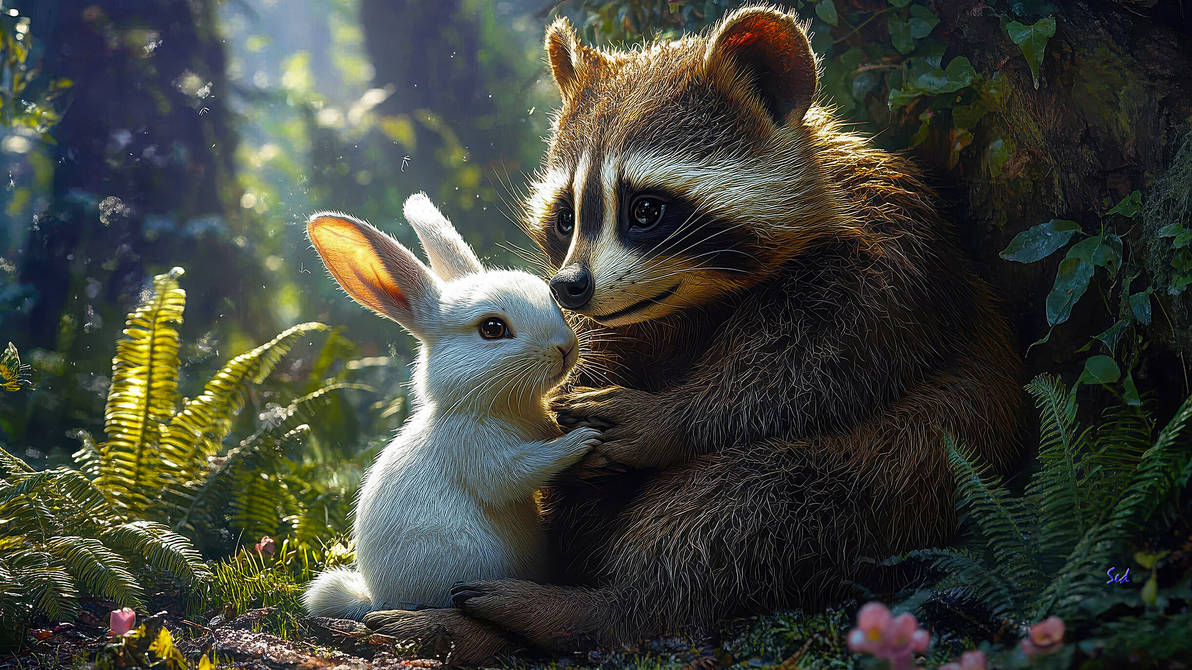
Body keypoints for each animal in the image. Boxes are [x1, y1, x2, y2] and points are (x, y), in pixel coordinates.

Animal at [302, 193, 600, 620]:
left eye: (552, 301)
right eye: (492, 329)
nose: (565, 347)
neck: (501, 405)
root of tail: (373, 596)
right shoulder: (475, 449)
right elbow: (520, 472)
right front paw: (581, 439)